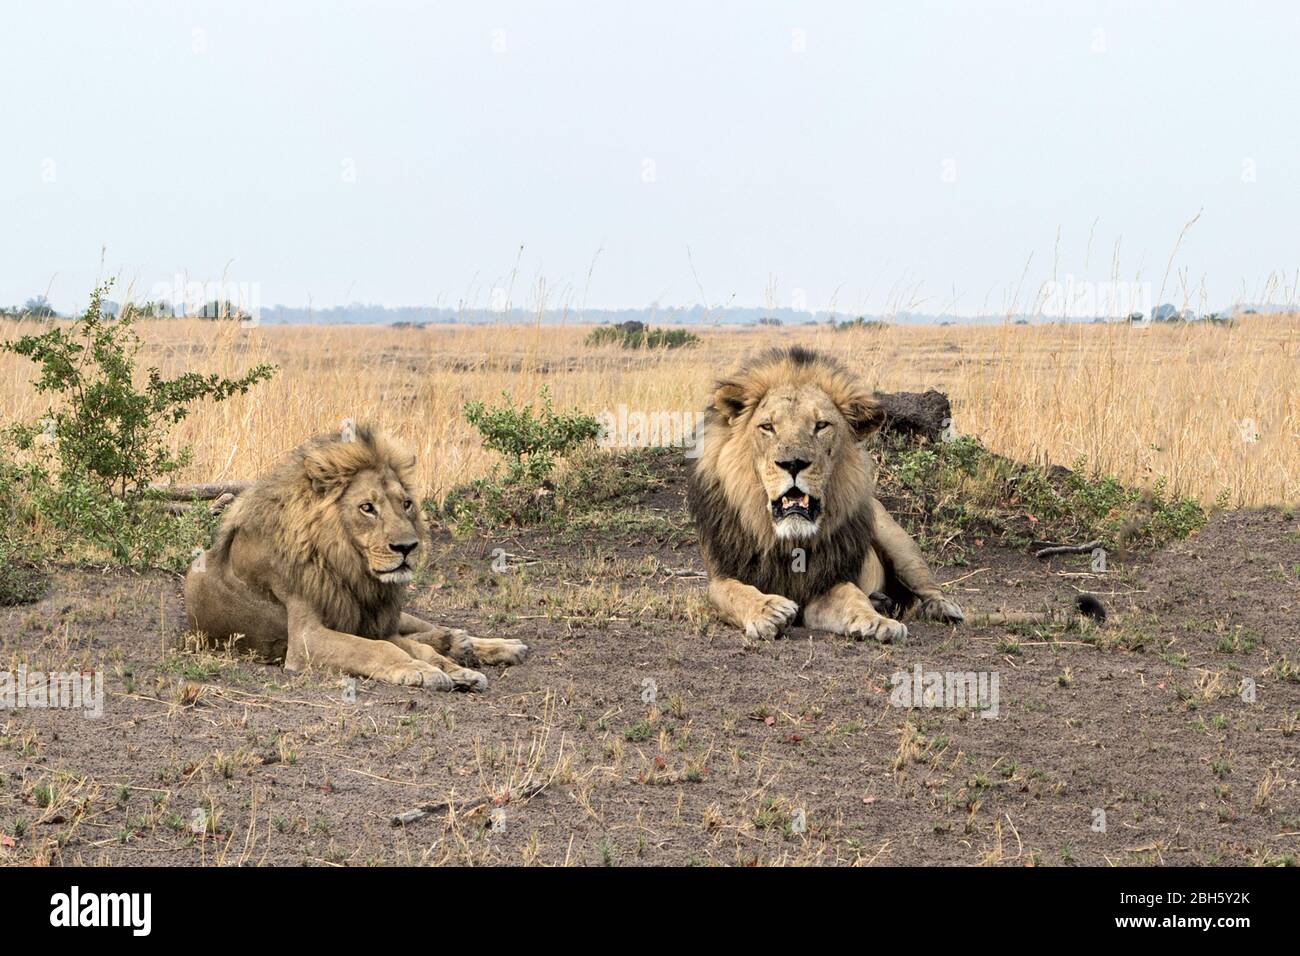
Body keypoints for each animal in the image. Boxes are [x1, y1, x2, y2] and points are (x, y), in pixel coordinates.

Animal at [183, 425, 528, 691]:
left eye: (406, 503)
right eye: (367, 508)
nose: (407, 547)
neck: (348, 566)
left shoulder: (370, 622)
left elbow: (412, 647)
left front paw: (456, 670)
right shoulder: (307, 638)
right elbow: (381, 648)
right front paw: (424, 671)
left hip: (391, 616)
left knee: (424, 628)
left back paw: (493, 645)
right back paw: (456, 641)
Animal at [687, 346, 966, 643]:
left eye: (821, 425)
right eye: (768, 427)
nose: (793, 463)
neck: (789, 542)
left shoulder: (827, 582)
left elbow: (853, 596)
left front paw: (877, 623)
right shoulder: (721, 574)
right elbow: (733, 592)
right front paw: (769, 611)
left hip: (896, 540)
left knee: (926, 584)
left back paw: (941, 608)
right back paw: (882, 601)